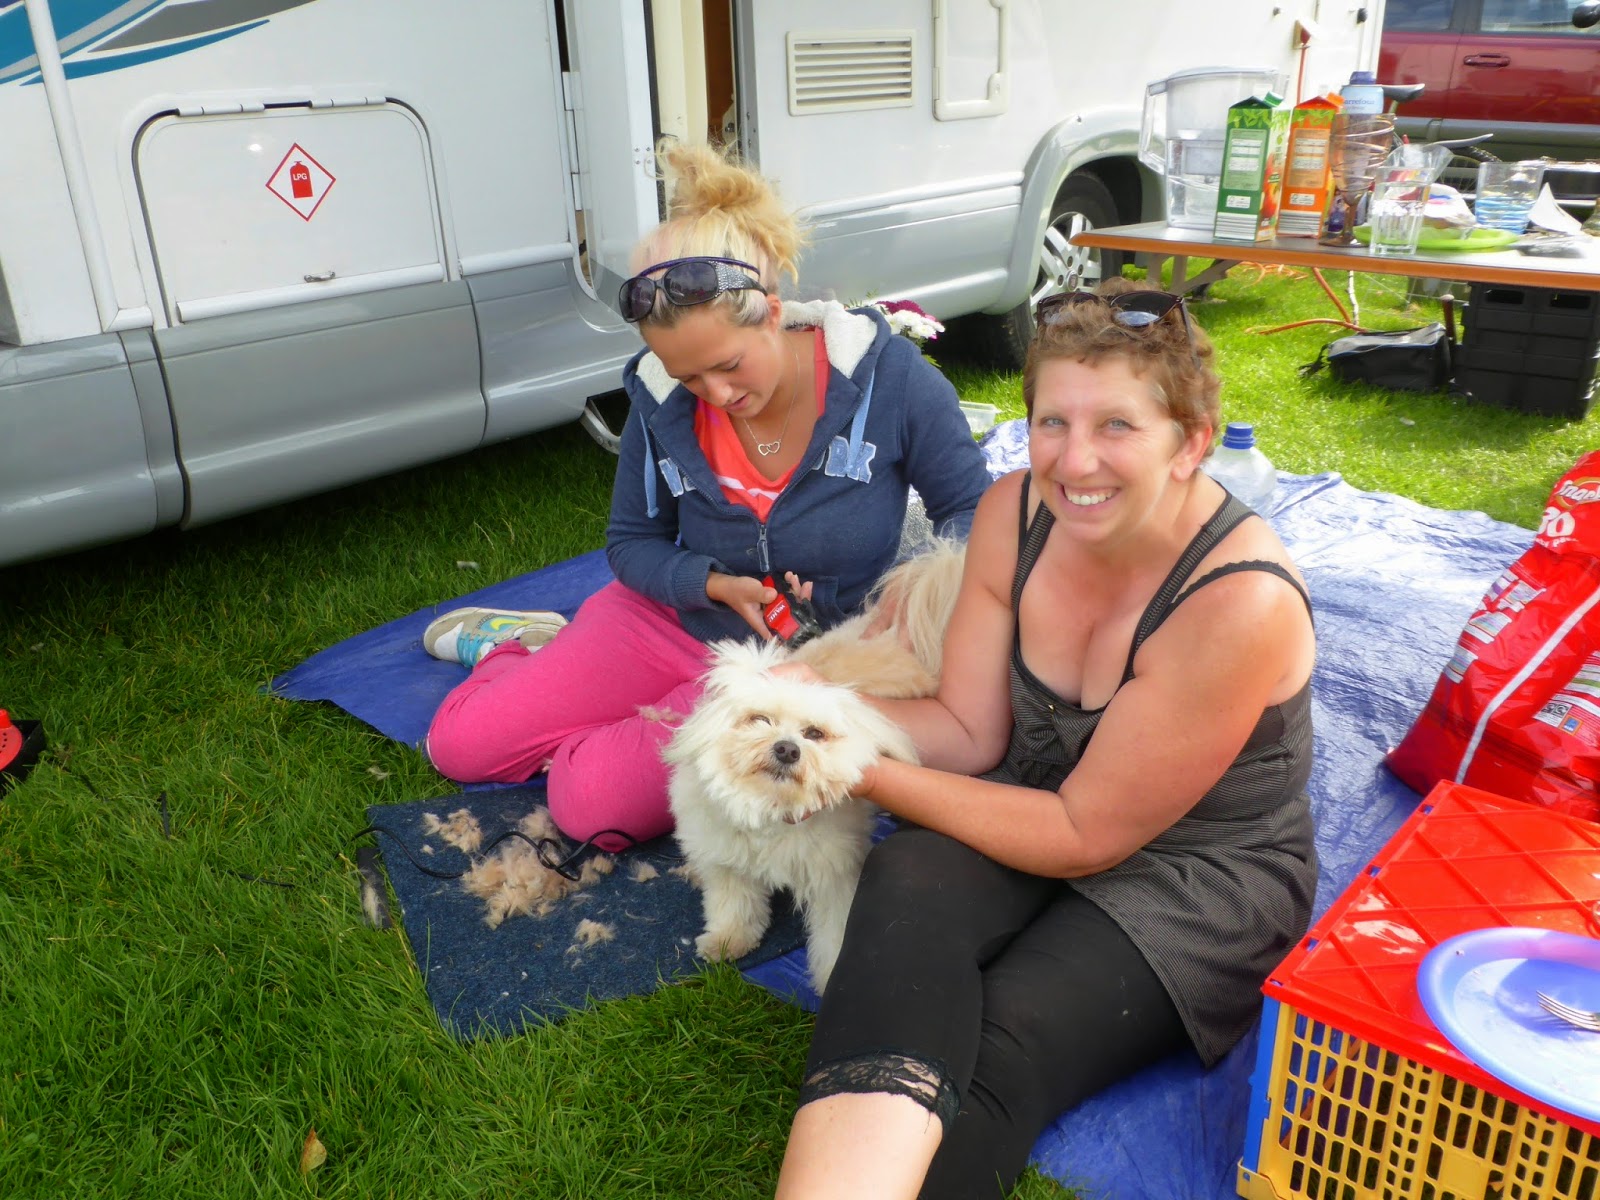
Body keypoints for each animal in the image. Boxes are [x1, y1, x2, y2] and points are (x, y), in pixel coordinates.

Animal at [663, 540, 964, 994]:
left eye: (814, 733)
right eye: (759, 719)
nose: (788, 749)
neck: (771, 811)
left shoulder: (835, 881)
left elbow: (835, 936)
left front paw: (833, 979)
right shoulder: (727, 863)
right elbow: (735, 904)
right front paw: (728, 940)